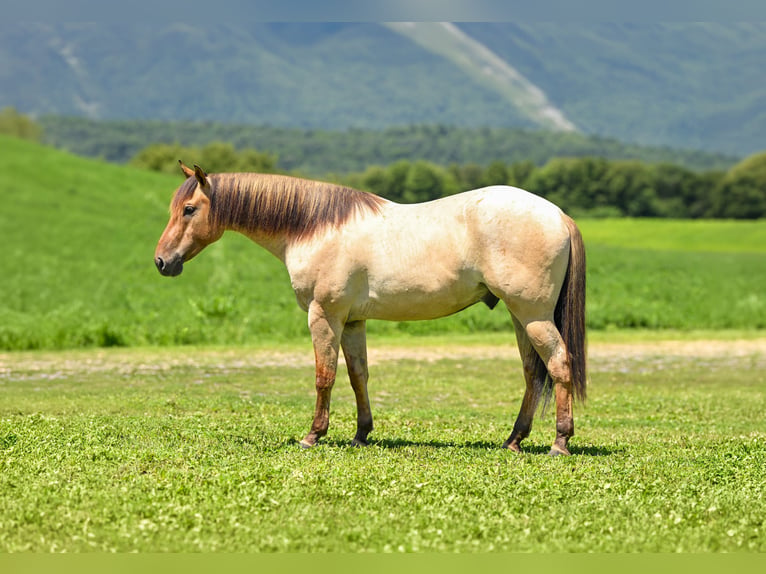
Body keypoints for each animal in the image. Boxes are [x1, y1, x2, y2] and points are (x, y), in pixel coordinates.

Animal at [155, 162, 587, 456]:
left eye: (189, 209)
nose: (162, 262)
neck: (314, 227)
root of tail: (558, 215)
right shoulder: (352, 321)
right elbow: (357, 375)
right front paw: (361, 433)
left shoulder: (324, 315)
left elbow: (324, 375)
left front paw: (313, 434)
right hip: (520, 315)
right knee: (533, 372)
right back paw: (514, 440)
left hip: (532, 315)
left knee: (559, 364)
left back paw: (560, 442)